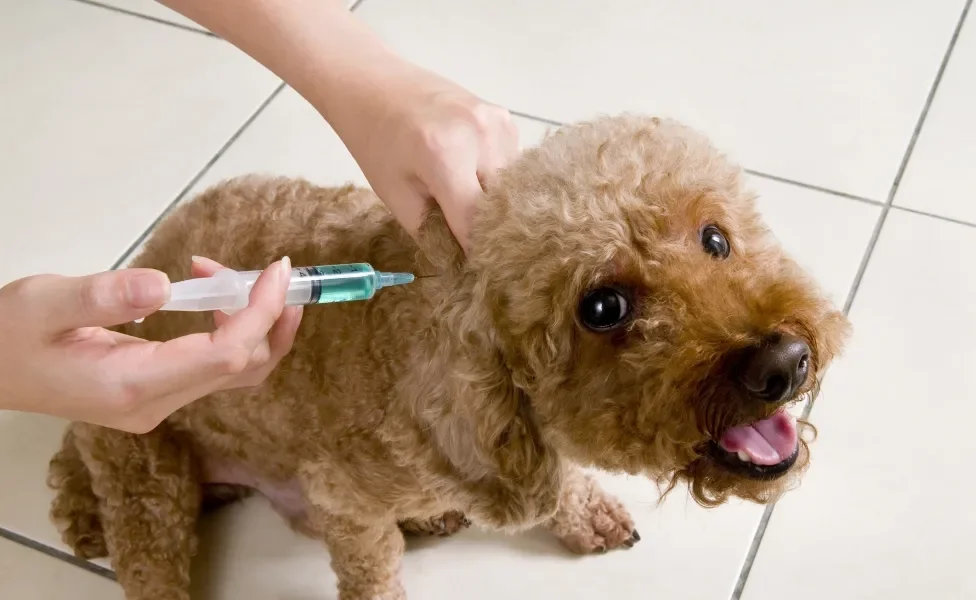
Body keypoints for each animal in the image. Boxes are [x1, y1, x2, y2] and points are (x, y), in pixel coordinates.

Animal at [49, 115, 852, 596]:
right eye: (603, 309)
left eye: (716, 239)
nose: (783, 361)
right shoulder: (343, 498)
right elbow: (372, 574)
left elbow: (563, 484)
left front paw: (584, 511)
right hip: (144, 477)